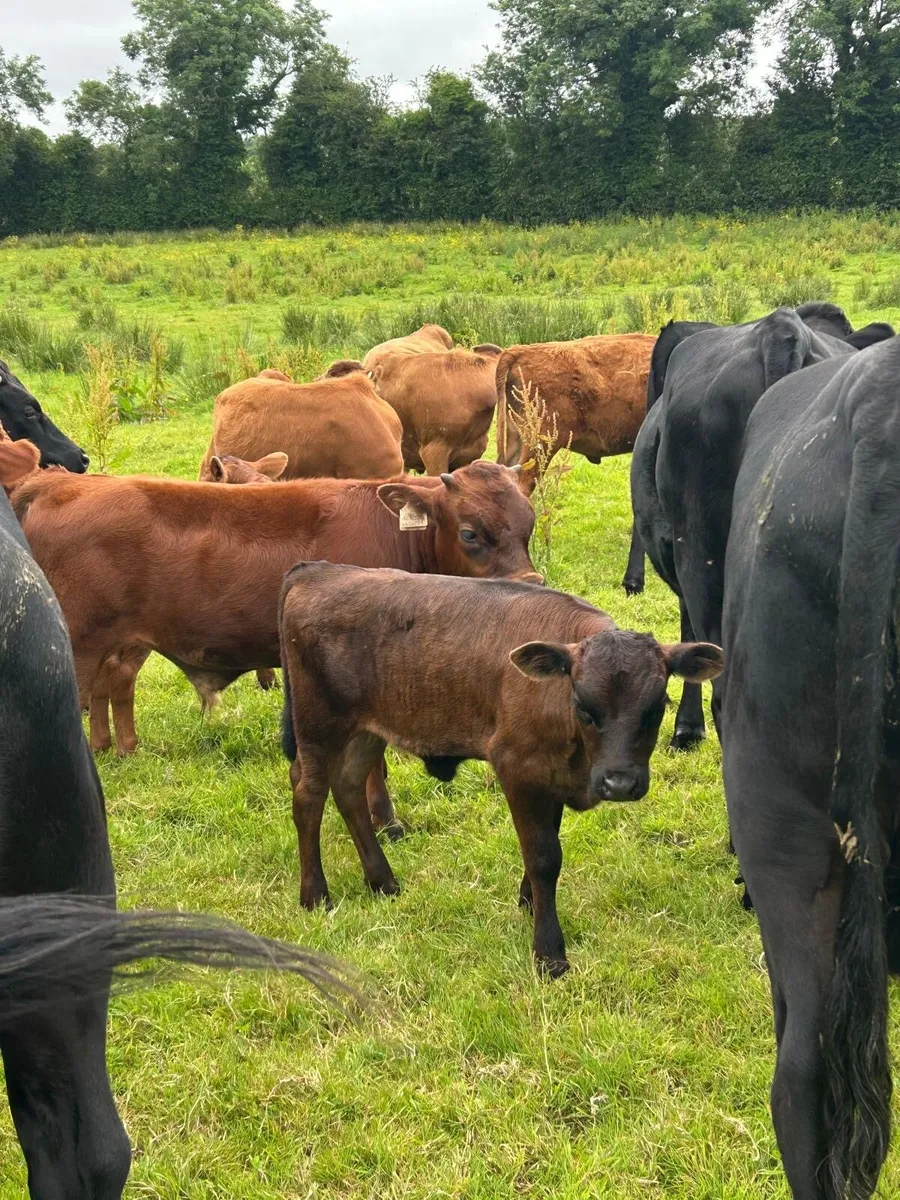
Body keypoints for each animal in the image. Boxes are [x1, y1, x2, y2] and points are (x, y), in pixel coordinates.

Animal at [14, 462, 540, 836]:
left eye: (529, 525)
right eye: (470, 532)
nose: (531, 584)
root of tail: (55, 484)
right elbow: (372, 764)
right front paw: (386, 822)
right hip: (76, 650)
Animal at [280, 562, 723, 976]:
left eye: (657, 707)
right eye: (583, 706)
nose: (618, 783)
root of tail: (317, 571)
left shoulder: (550, 778)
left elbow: (542, 848)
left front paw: (528, 903)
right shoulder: (518, 769)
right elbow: (544, 857)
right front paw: (549, 953)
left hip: (366, 731)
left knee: (349, 788)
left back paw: (382, 882)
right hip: (318, 726)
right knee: (309, 796)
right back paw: (315, 895)